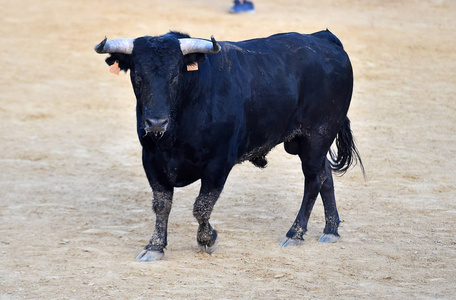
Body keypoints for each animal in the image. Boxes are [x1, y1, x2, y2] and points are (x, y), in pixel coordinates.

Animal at [95, 29, 364, 260]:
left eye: (175, 77)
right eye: (138, 76)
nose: (156, 122)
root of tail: (323, 38)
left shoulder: (219, 163)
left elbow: (201, 207)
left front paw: (207, 240)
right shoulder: (151, 159)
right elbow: (162, 205)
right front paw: (154, 247)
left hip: (317, 136)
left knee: (313, 180)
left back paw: (295, 233)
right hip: (303, 143)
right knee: (325, 174)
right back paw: (330, 230)